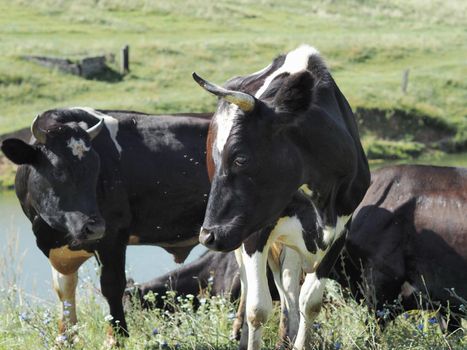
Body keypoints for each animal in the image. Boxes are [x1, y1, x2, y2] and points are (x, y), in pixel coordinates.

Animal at [0, 108, 211, 344]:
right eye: (57, 171)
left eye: (96, 169)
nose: (95, 227)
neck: (52, 231)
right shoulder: (56, 249)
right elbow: (64, 289)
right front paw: (66, 338)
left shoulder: (113, 236)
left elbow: (112, 285)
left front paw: (116, 337)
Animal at [192, 45, 372, 348]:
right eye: (215, 158)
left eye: (240, 158)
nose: (207, 236)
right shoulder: (254, 232)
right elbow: (258, 309)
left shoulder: (341, 231)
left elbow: (310, 301)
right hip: (243, 235)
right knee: (249, 282)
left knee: (288, 288)